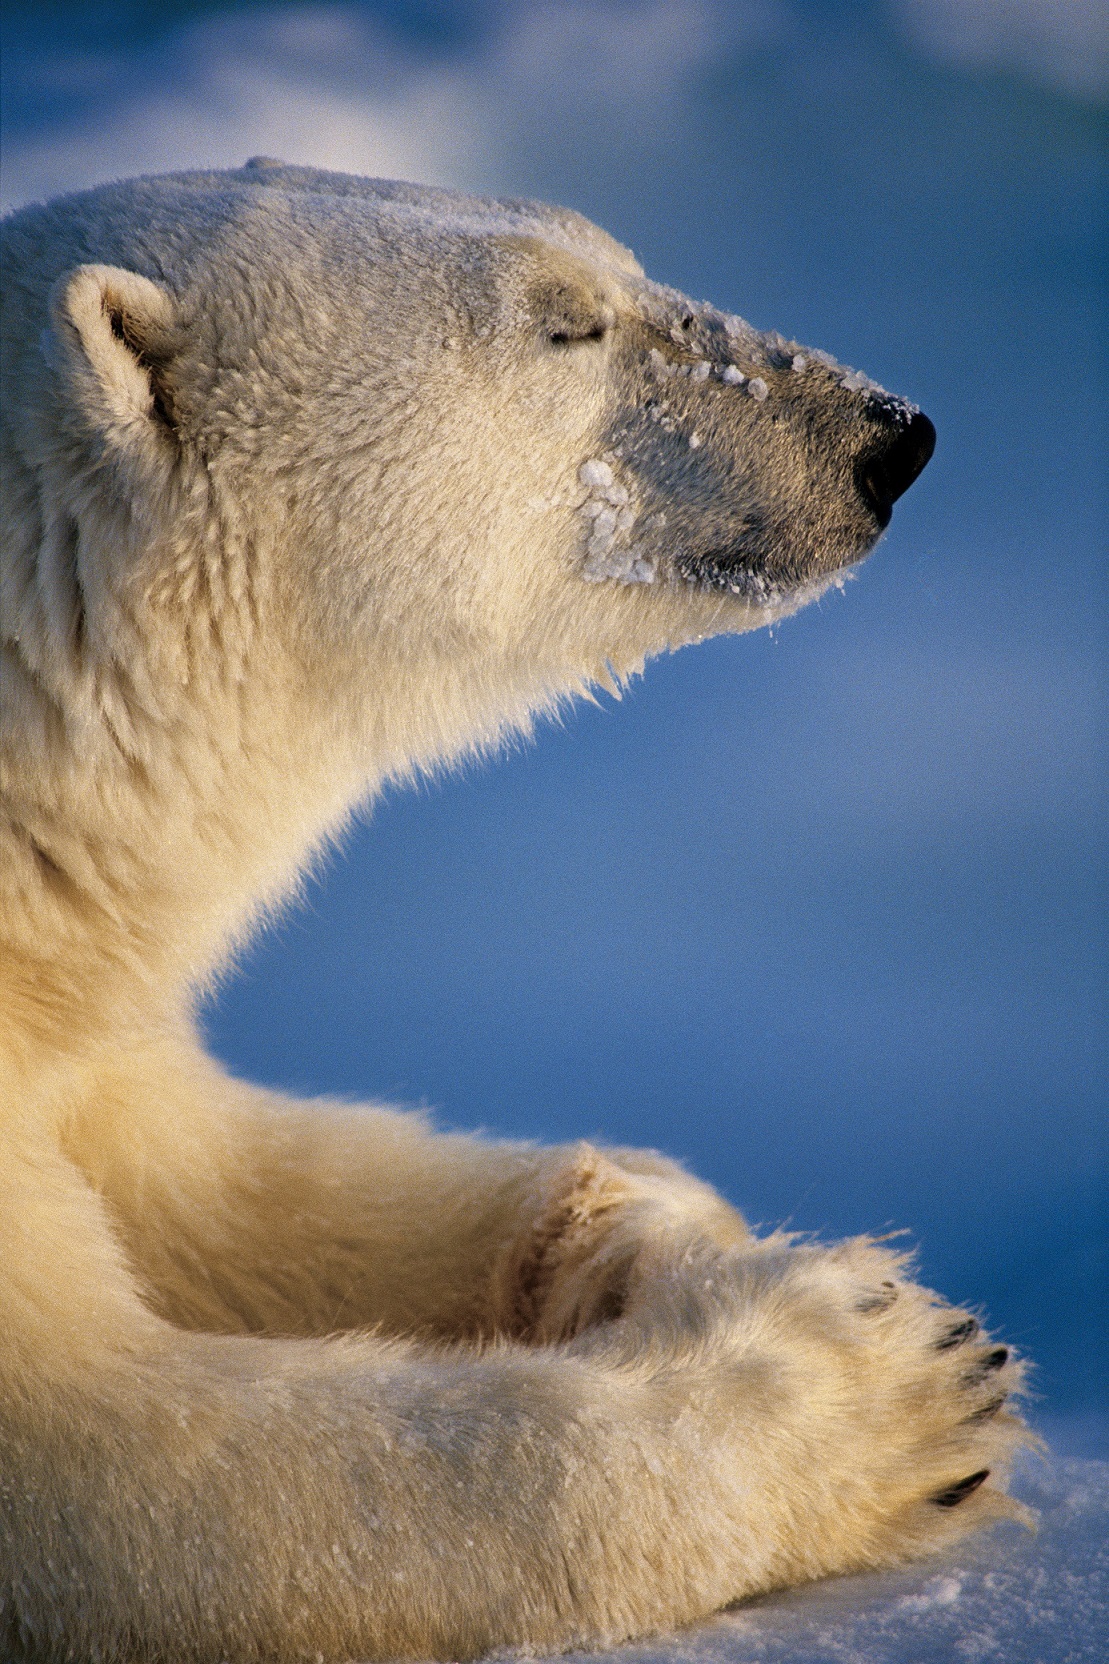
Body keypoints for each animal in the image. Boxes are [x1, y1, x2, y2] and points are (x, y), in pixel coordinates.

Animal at [0, 158, 1025, 1664]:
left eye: (613, 262)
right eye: (564, 325)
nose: (887, 438)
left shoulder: (81, 1012)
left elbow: (237, 1179)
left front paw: (645, 1231)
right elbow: (141, 1465)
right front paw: (883, 1379)